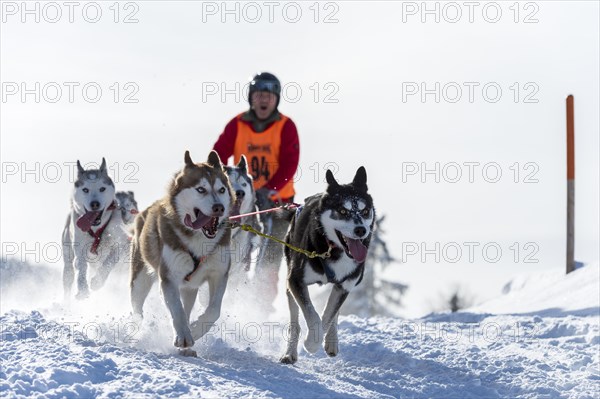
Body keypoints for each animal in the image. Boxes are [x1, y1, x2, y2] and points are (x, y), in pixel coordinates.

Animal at [61, 159, 129, 300]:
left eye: (102, 188)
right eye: (85, 189)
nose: (95, 204)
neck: (96, 228)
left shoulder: (122, 242)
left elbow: (110, 260)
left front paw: (98, 281)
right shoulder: (79, 246)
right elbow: (81, 266)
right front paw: (82, 289)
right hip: (67, 260)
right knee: (69, 277)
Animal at [130, 151, 233, 354]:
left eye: (221, 190)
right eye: (201, 189)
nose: (219, 207)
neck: (198, 239)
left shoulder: (219, 273)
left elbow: (214, 310)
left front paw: (196, 329)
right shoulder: (169, 278)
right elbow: (176, 310)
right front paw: (184, 336)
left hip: (189, 288)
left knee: (187, 306)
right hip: (140, 278)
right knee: (137, 308)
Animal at [282, 167, 376, 364]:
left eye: (364, 211)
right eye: (342, 210)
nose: (361, 230)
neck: (332, 250)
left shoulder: (345, 285)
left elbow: (328, 315)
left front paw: (315, 341)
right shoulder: (296, 281)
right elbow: (313, 315)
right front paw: (310, 344)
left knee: (334, 314)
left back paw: (331, 342)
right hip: (289, 281)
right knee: (295, 322)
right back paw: (289, 353)